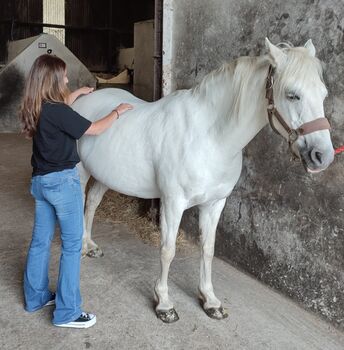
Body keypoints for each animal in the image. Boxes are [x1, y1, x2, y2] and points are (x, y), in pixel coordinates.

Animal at [72, 39, 334, 322]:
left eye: (323, 94)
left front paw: (210, 300)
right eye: (292, 95)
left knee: (92, 203)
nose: (323, 156)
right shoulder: (173, 203)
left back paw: (90, 245)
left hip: (106, 174)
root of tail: (83, 99)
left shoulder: (215, 203)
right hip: (81, 171)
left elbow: (208, 249)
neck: (210, 136)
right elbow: (167, 250)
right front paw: (164, 303)